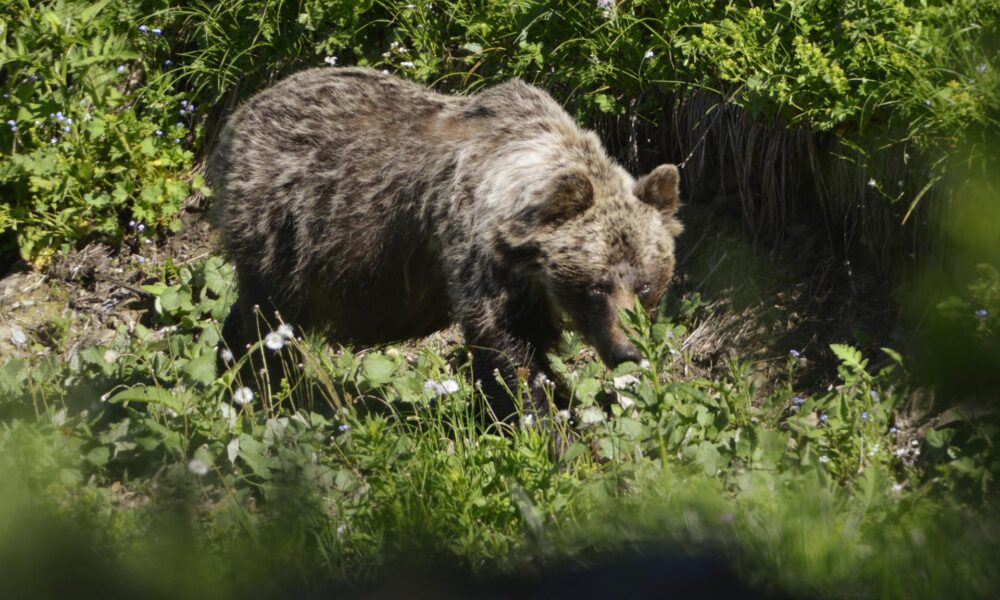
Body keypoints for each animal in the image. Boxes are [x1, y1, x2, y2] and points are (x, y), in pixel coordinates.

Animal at [208, 68, 684, 420]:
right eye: (596, 286)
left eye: (645, 284)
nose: (628, 351)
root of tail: (239, 114)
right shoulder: (476, 253)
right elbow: (508, 350)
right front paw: (548, 426)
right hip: (286, 228)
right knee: (267, 319)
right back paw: (258, 387)